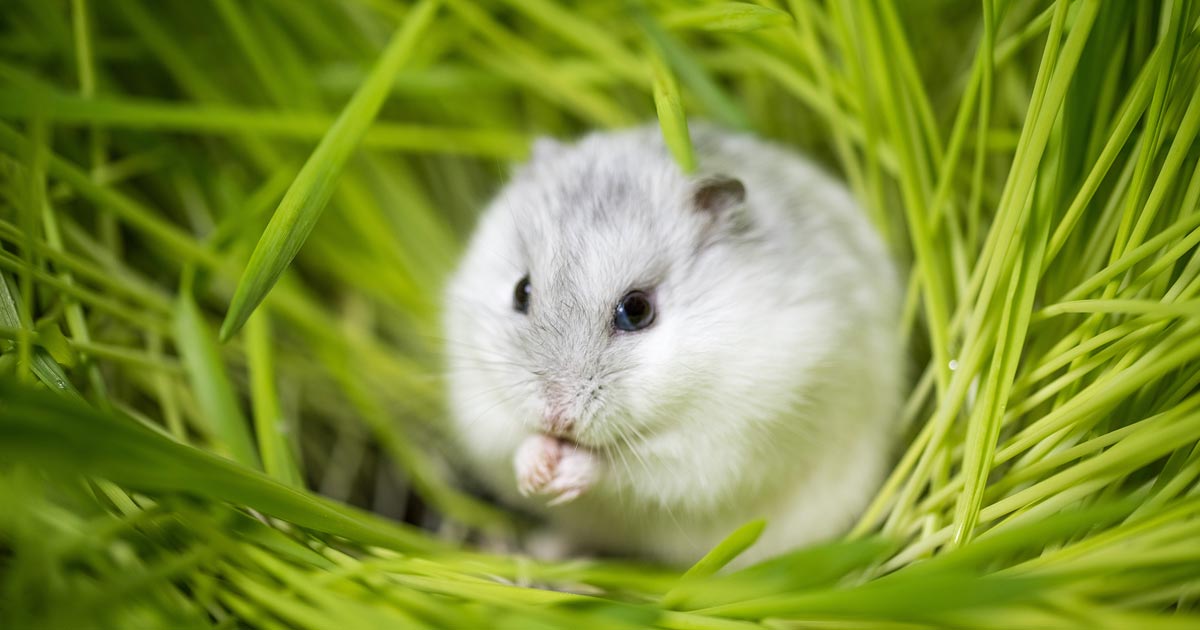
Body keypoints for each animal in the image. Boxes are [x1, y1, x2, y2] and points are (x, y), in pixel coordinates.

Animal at [441, 123, 902, 564]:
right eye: (521, 292)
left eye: (636, 311)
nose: (556, 419)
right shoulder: (478, 406)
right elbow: (511, 440)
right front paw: (537, 472)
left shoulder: (723, 444)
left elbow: (629, 466)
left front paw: (566, 471)